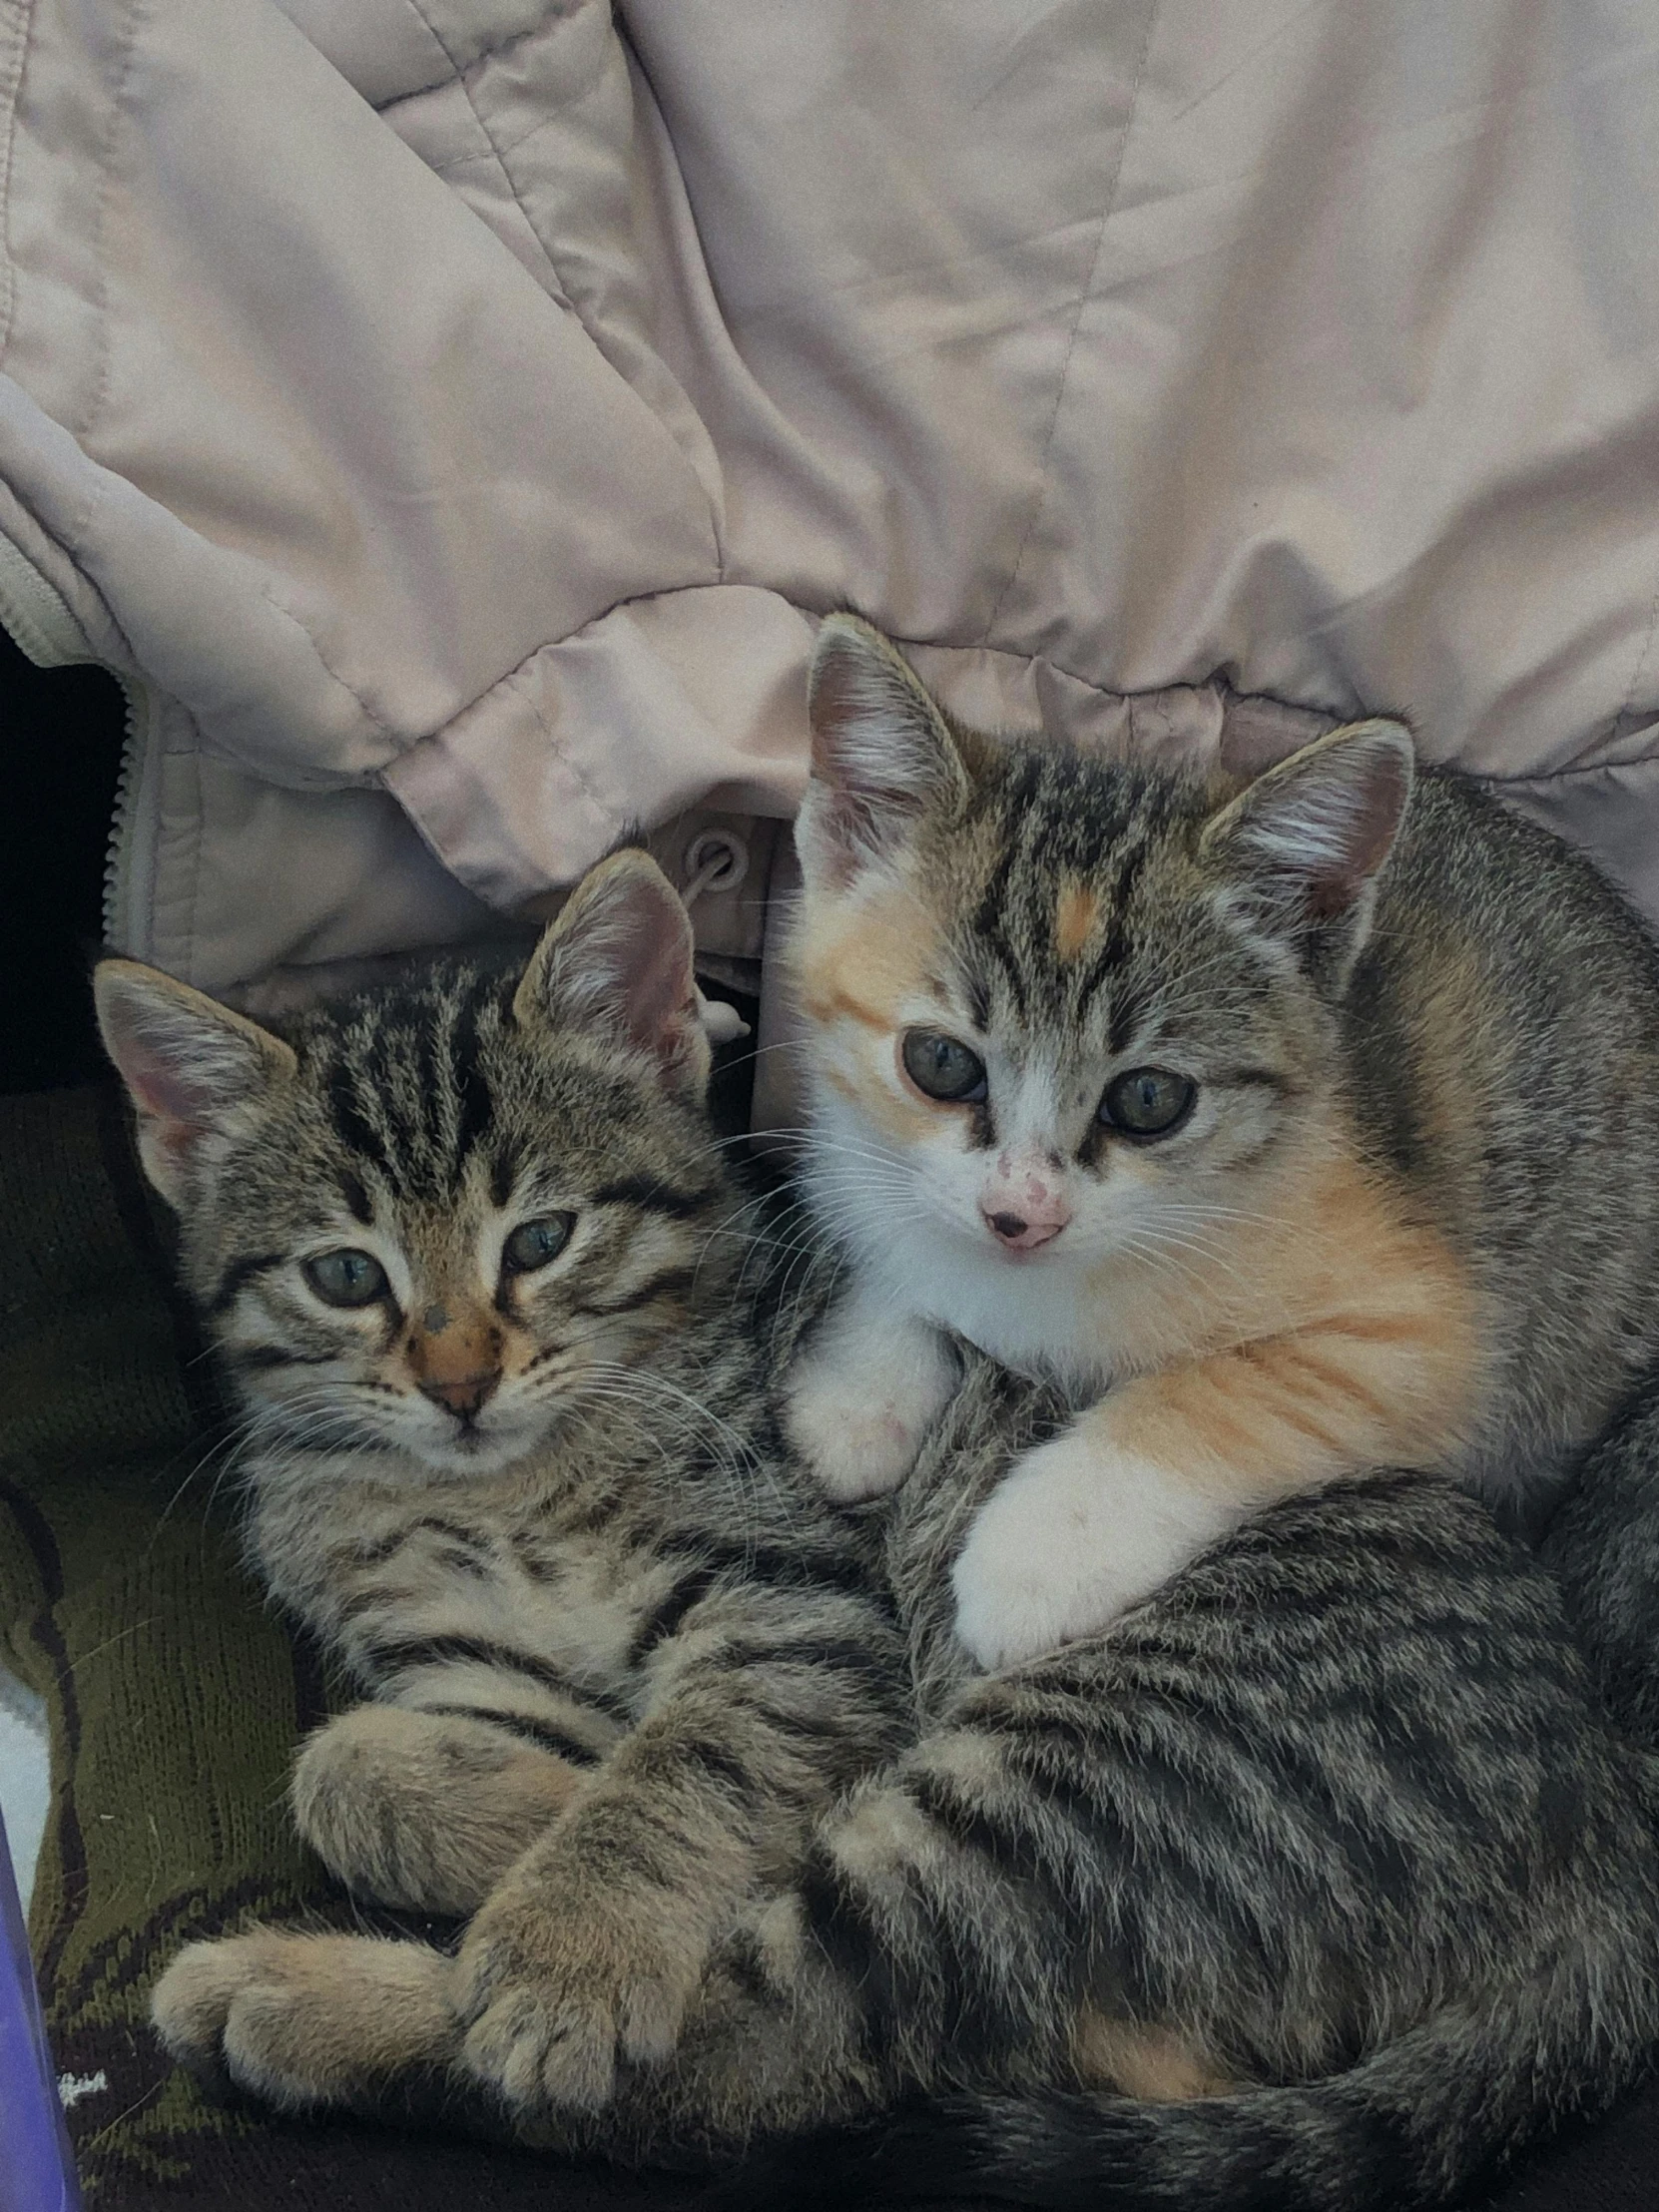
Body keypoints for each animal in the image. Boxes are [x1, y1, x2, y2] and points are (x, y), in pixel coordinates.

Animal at [90, 848, 910, 2123]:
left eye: (539, 1241)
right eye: (344, 1274)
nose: (461, 1383)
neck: (509, 1491)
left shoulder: (800, 1599)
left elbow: (688, 1756)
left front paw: (567, 1941)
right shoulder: (476, 1662)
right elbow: (342, 1767)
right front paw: (545, 1814)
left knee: (795, 2036)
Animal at [783, 615, 1659, 1663]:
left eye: (1149, 1099)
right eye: (940, 1062)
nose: (1020, 1215)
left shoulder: (1429, 1332)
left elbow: (1222, 1393)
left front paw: (1040, 1551)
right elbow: (899, 1235)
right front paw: (859, 1388)